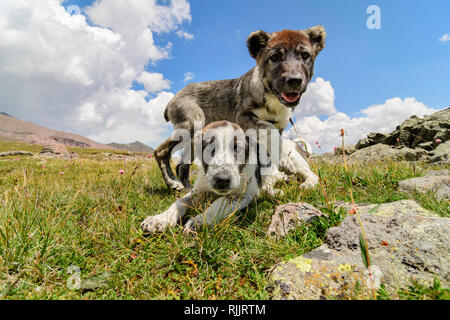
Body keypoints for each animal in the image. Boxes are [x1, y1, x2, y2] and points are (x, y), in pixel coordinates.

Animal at [141, 121, 276, 234]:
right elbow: (180, 201)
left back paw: (271, 191)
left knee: (267, 183)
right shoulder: (199, 190)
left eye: (238, 149)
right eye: (208, 148)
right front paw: (160, 218)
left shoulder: (245, 193)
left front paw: (199, 221)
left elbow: (220, 201)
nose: (222, 180)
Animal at [155, 26, 326, 190]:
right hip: (191, 124)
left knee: (181, 165)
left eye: (305, 55)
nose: (294, 80)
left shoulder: (279, 128)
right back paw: (173, 183)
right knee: (160, 152)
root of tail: (173, 98)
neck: (272, 97)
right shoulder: (243, 117)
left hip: (196, 136)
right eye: (274, 57)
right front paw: (282, 161)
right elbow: (268, 128)